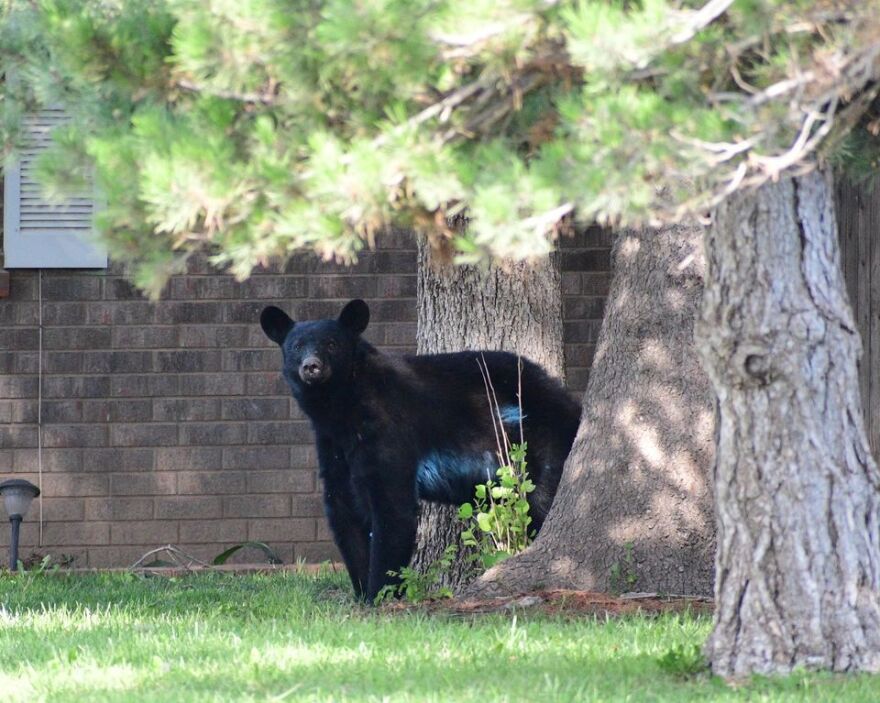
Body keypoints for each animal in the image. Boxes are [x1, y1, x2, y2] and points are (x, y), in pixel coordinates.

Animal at [260, 300, 576, 604]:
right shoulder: (333, 447)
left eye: (331, 344)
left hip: (539, 443)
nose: (311, 366)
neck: (344, 409)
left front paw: (379, 595)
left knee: (542, 497)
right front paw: (359, 593)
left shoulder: (388, 432)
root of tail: (570, 401)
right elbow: (344, 512)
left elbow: (393, 510)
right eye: (296, 346)